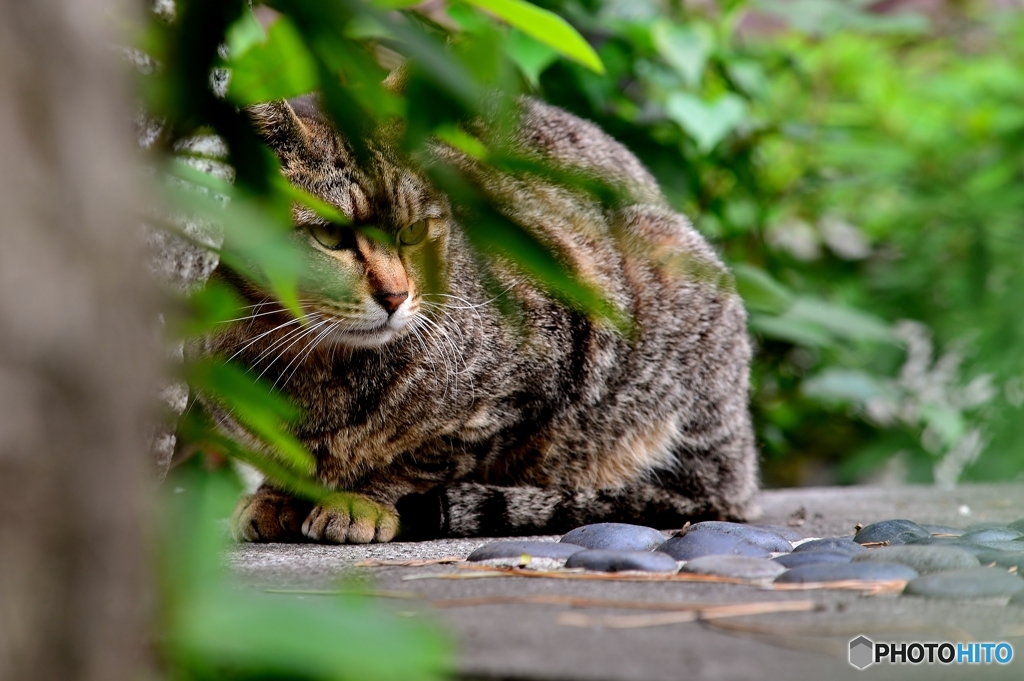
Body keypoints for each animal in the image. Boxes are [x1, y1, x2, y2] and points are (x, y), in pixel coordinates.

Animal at [199, 94, 761, 540]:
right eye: (331, 236)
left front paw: (363, 498)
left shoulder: (535, 380)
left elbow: (421, 459)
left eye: (413, 232)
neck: (310, 361)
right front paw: (278, 496)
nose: (396, 296)